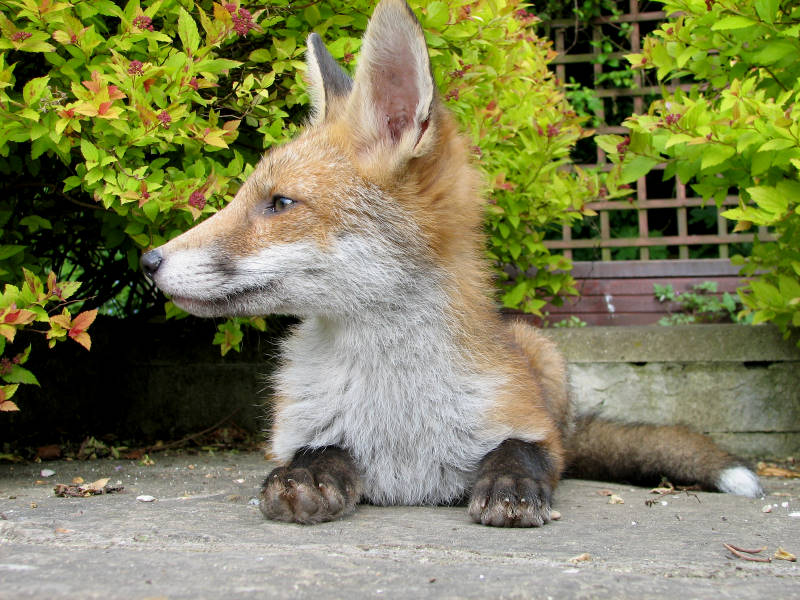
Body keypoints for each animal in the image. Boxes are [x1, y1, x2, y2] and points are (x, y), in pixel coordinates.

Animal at [141, 0, 762, 527]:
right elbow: (316, 453)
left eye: (280, 203)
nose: (148, 261)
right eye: (248, 196)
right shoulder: (300, 430)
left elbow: (521, 454)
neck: (398, 415)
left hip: (545, 358)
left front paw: (511, 485)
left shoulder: (531, 429)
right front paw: (304, 479)